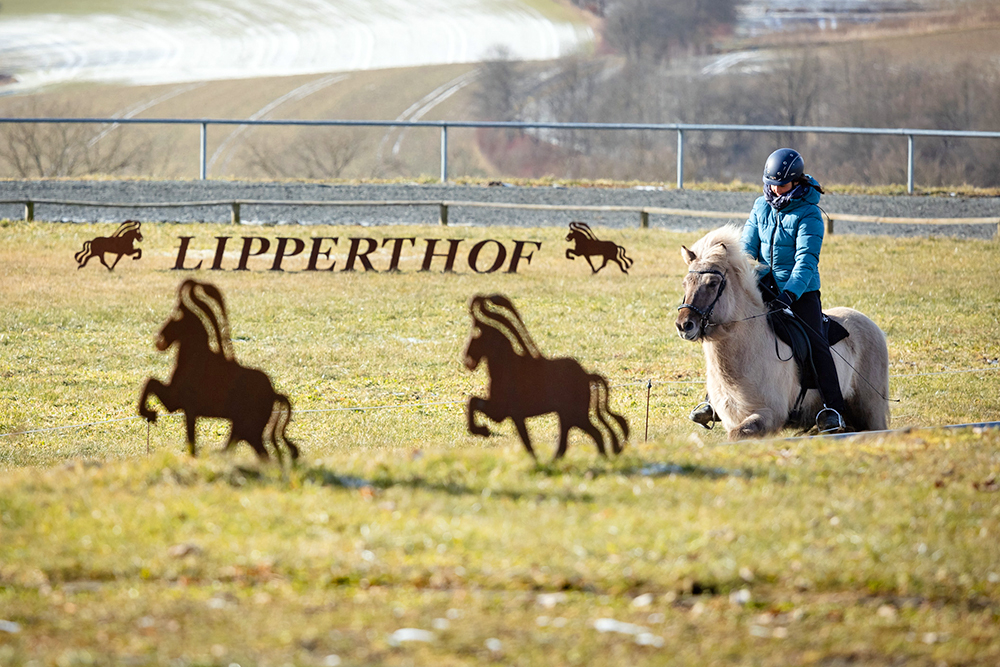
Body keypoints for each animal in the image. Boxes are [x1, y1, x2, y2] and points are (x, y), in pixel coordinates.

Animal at [139, 278, 298, 464]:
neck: (195, 358)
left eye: (175, 316)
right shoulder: (185, 408)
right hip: (243, 430)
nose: (160, 339)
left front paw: (149, 413)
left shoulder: (177, 403)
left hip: (249, 430)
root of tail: (274, 394)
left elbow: (150, 382)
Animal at [462, 294, 628, 462]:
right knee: (574, 439)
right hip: (568, 415)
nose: (467, 360)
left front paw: (483, 430)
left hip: (576, 414)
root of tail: (586, 376)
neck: (507, 368)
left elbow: (473, 402)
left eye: (475, 334)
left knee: (594, 434)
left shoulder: (501, 411)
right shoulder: (510, 414)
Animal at [676, 227, 888, 440]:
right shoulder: (733, 420)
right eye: (685, 283)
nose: (684, 325)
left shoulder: (768, 415)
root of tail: (872, 325)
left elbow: (737, 435)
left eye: (712, 283)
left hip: (872, 413)